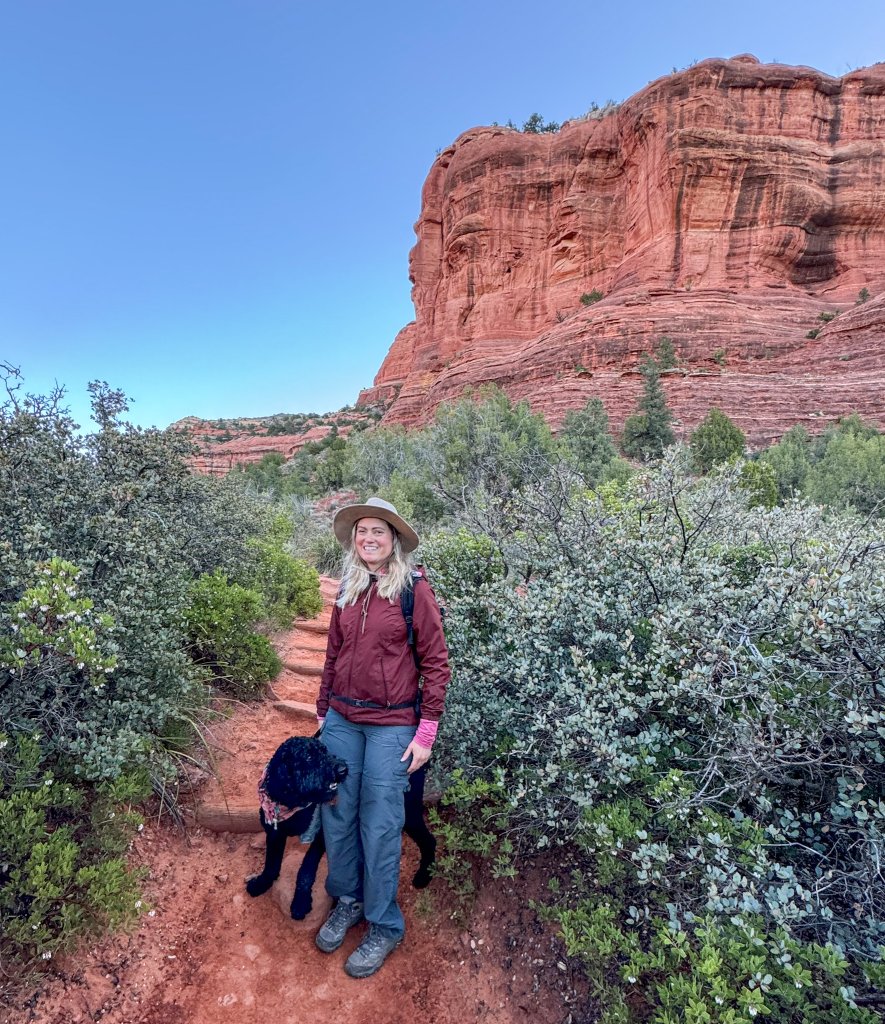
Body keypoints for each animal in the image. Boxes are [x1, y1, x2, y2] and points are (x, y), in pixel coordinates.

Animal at [243, 737, 436, 921]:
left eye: (324, 750)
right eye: (308, 757)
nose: (343, 769)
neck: (293, 803)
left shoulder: (321, 835)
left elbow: (306, 869)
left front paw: (300, 903)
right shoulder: (275, 833)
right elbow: (271, 863)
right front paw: (261, 883)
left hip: (409, 811)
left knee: (429, 840)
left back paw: (424, 875)